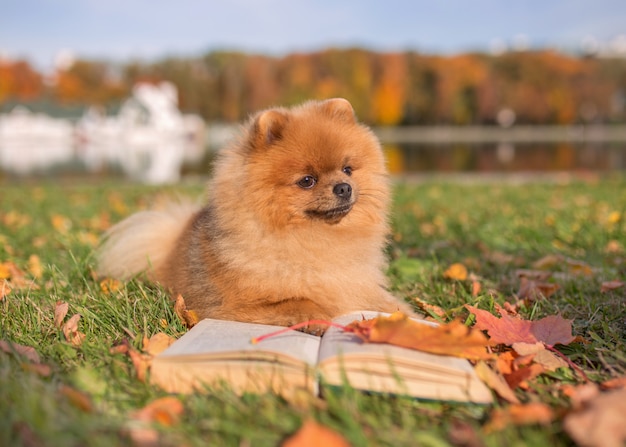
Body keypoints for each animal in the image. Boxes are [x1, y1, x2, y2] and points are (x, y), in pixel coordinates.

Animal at [96, 100, 410, 334]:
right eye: (307, 181)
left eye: (347, 170)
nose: (344, 187)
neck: (312, 238)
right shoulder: (231, 307)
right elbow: (297, 301)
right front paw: (319, 319)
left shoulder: (359, 286)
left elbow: (389, 303)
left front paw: (408, 318)